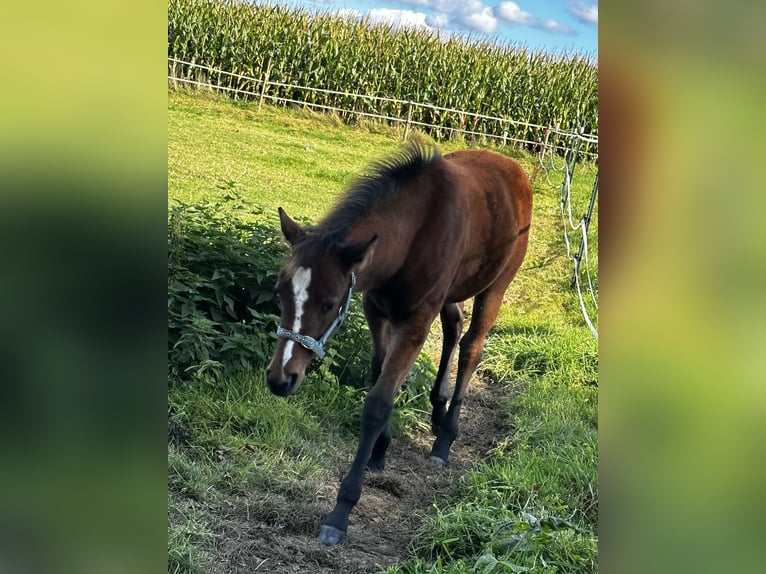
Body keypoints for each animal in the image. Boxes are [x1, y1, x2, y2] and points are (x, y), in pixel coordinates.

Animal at [268, 142, 532, 548]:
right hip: (452, 292)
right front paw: (380, 449)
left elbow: (378, 402)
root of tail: (512, 166)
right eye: (281, 292)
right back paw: (438, 413)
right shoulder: (375, 307)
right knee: (454, 327)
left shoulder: (416, 320)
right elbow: (380, 376)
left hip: (496, 286)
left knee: (472, 345)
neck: (414, 232)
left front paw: (341, 512)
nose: (281, 378)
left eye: (328, 303)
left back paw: (445, 438)